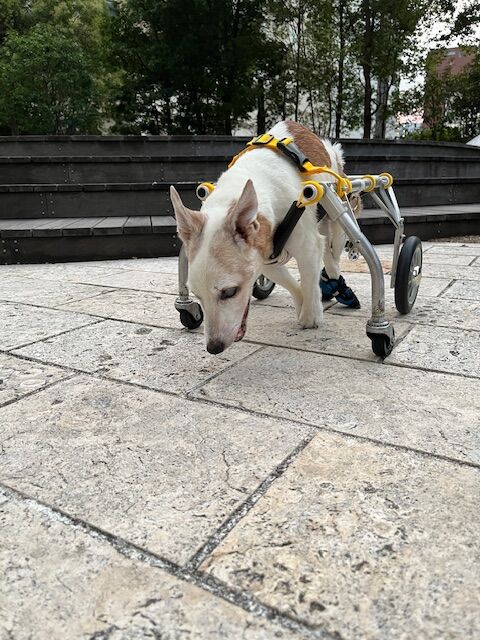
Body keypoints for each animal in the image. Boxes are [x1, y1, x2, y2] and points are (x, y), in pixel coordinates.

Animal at [170, 120, 358, 354]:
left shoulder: (307, 247)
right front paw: (301, 304)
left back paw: (333, 274)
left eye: (229, 292)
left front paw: (310, 316)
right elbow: (294, 285)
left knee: (333, 251)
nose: (213, 348)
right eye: (196, 295)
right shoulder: (265, 257)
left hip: (338, 213)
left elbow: (309, 281)